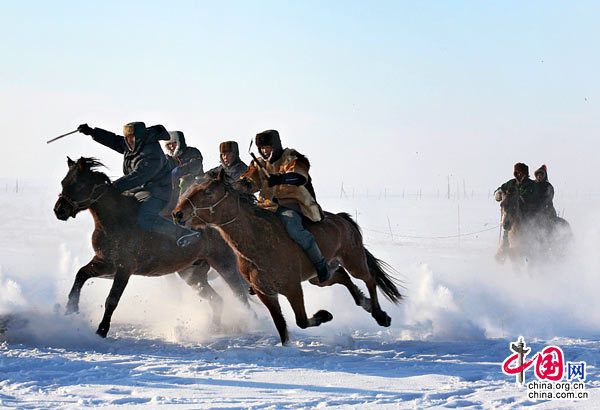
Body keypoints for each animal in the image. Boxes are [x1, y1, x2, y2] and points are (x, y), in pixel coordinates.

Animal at [53, 156, 251, 336]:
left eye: (79, 185)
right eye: (64, 182)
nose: (59, 210)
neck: (115, 220)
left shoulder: (124, 268)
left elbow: (112, 299)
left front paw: (102, 330)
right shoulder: (106, 263)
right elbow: (81, 274)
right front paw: (71, 309)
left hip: (224, 263)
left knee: (240, 294)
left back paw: (250, 322)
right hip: (193, 274)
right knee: (217, 300)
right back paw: (214, 328)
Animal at [171, 170, 404, 346]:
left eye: (207, 191)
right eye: (191, 188)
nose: (177, 213)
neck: (258, 244)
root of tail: (343, 220)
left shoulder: (292, 288)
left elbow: (300, 321)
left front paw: (324, 315)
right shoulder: (265, 293)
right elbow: (281, 326)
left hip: (353, 260)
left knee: (368, 279)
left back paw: (380, 315)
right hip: (319, 276)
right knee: (341, 276)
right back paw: (364, 303)